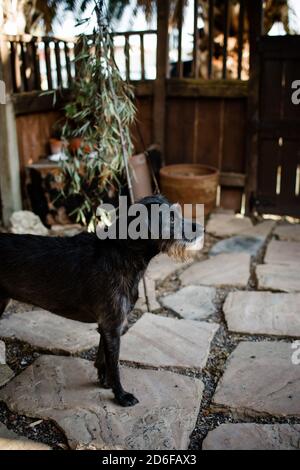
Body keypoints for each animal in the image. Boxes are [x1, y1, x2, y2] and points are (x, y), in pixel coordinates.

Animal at [0, 196, 204, 406]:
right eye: (170, 219)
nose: (200, 228)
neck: (123, 253)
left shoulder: (107, 325)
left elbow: (102, 358)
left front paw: (104, 380)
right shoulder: (112, 325)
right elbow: (114, 364)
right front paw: (121, 395)